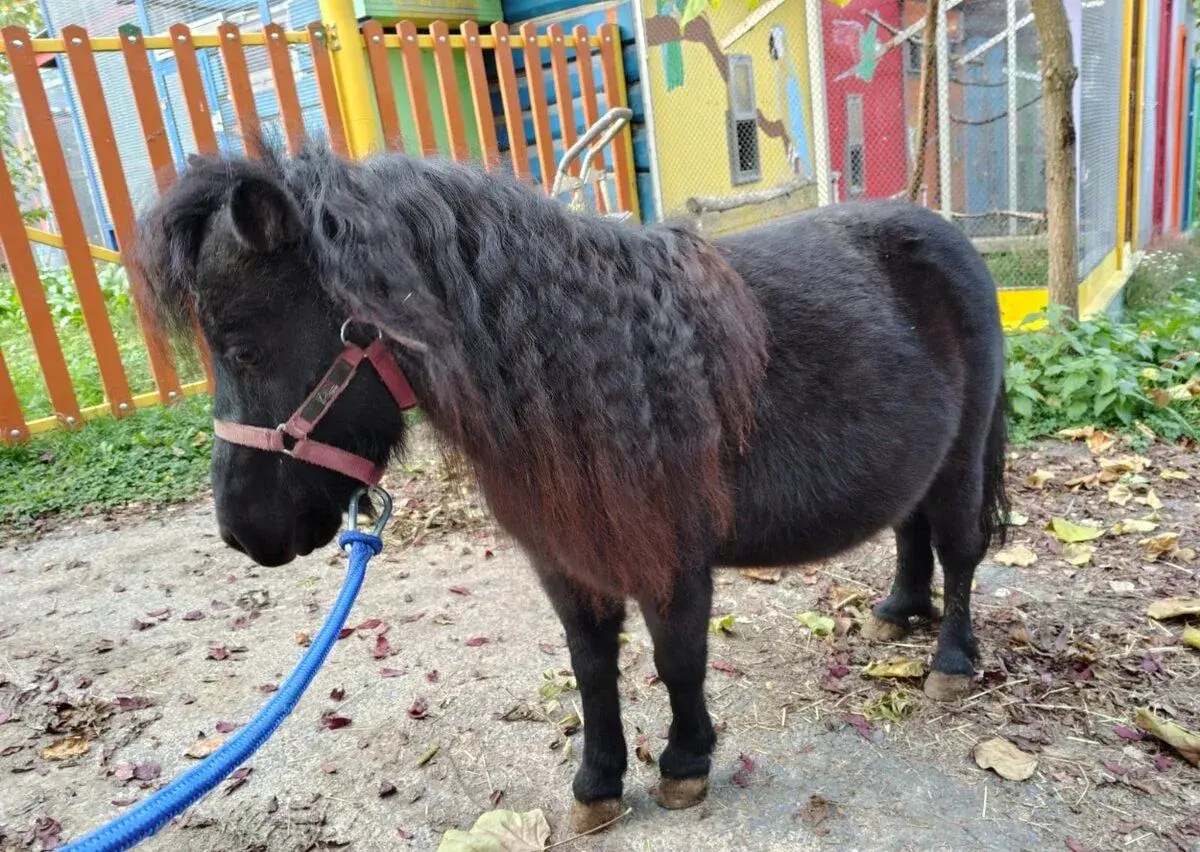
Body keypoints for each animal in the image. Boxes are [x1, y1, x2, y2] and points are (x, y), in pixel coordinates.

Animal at [132, 138, 1009, 834]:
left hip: (962, 456)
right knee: (911, 529)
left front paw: (684, 764)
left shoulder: (672, 558)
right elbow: (591, 667)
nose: (241, 531)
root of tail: (947, 236)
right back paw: (897, 612)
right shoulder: (565, 559)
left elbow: (677, 659)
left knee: (960, 549)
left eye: (242, 347)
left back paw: (948, 661)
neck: (600, 367)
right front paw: (598, 782)